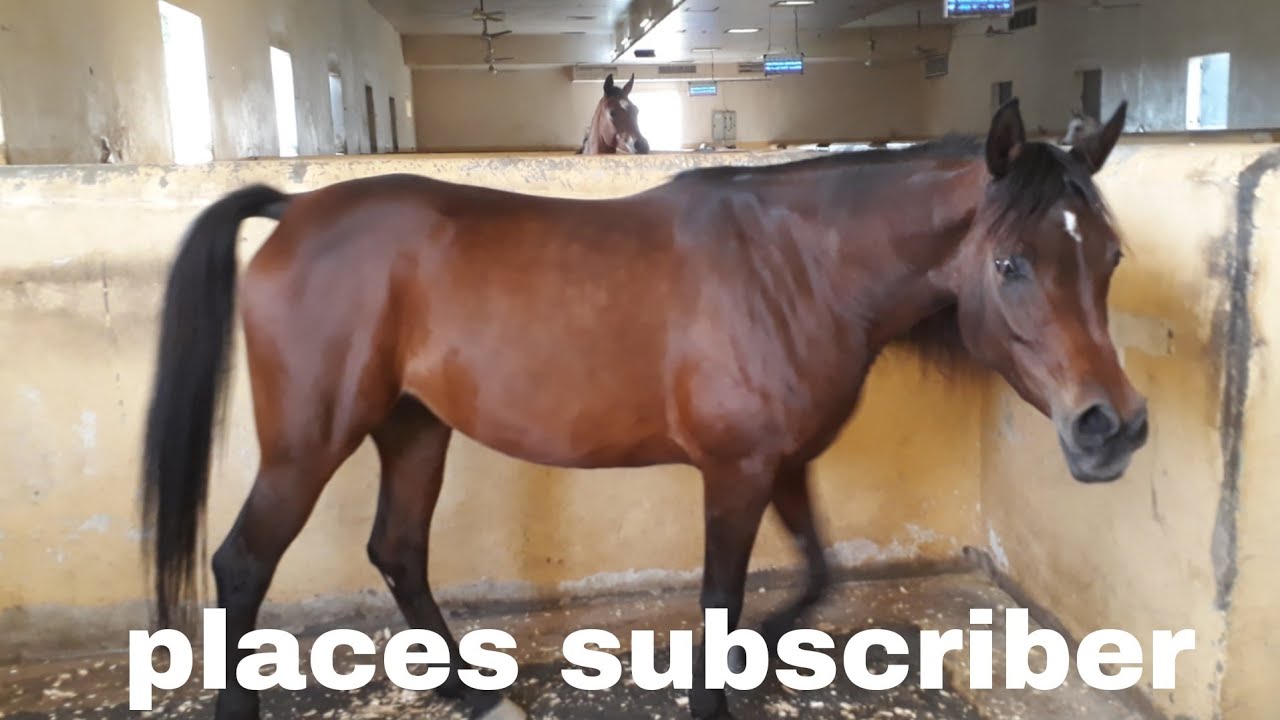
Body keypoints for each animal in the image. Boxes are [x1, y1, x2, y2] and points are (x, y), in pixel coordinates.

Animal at [141, 97, 1144, 720]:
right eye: (1010, 264)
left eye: (1111, 257)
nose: (1113, 429)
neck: (795, 266)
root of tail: (293, 211)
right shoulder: (735, 473)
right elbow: (721, 598)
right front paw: (715, 686)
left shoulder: (780, 462)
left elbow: (814, 575)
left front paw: (758, 657)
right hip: (310, 443)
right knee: (242, 564)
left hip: (415, 427)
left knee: (397, 551)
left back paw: (474, 690)